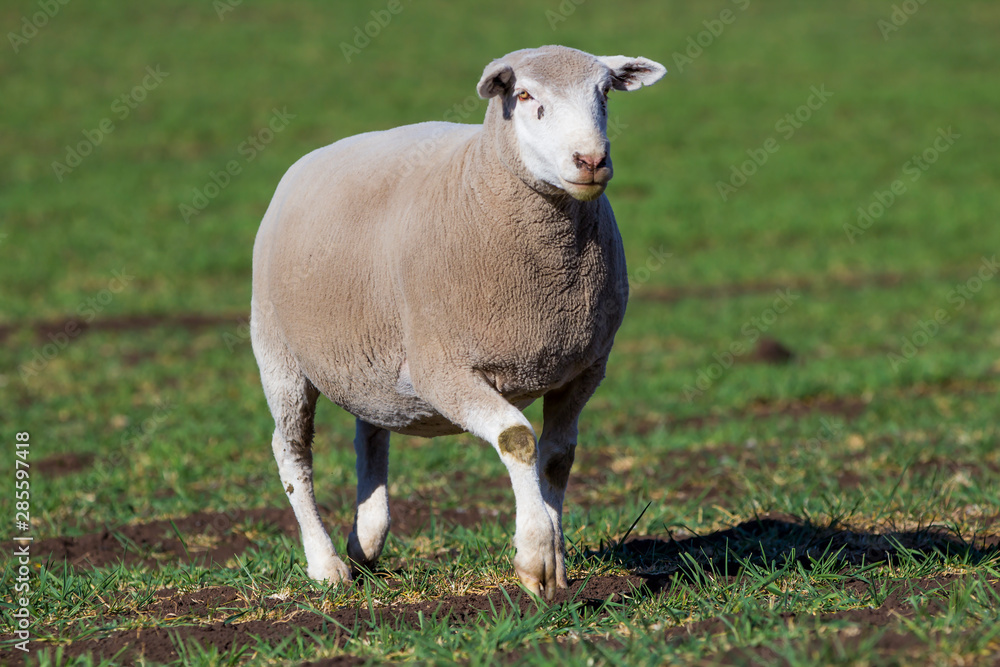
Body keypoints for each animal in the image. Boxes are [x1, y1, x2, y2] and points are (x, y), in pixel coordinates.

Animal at [250, 47, 664, 600]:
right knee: (291, 449)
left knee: (371, 435)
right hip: (278, 350)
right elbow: (518, 439)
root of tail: (312, 158)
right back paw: (326, 564)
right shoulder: (442, 369)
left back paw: (367, 541)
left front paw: (555, 561)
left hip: (372, 353)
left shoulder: (584, 369)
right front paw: (536, 559)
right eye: (524, 95)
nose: (591, 161)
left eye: (605, 93)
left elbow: (557, 457)